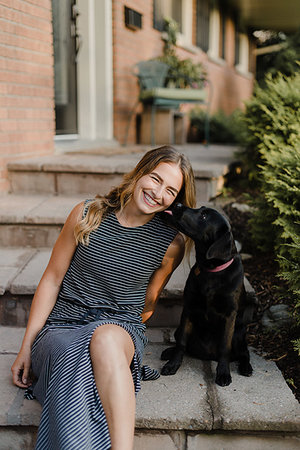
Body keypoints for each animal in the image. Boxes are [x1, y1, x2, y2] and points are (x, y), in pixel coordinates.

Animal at [161, 205, 254, 386]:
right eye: (201, 209)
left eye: (204, 216)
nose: (178, 205)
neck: (211, 270)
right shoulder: (188, 308)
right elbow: (181, 342)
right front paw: (173, 364)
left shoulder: (229, 315)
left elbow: (225, 347)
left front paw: (223, 373)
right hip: (179, 327)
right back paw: (168, 352)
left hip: (240, 333)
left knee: (244, 353)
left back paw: (246, 367)